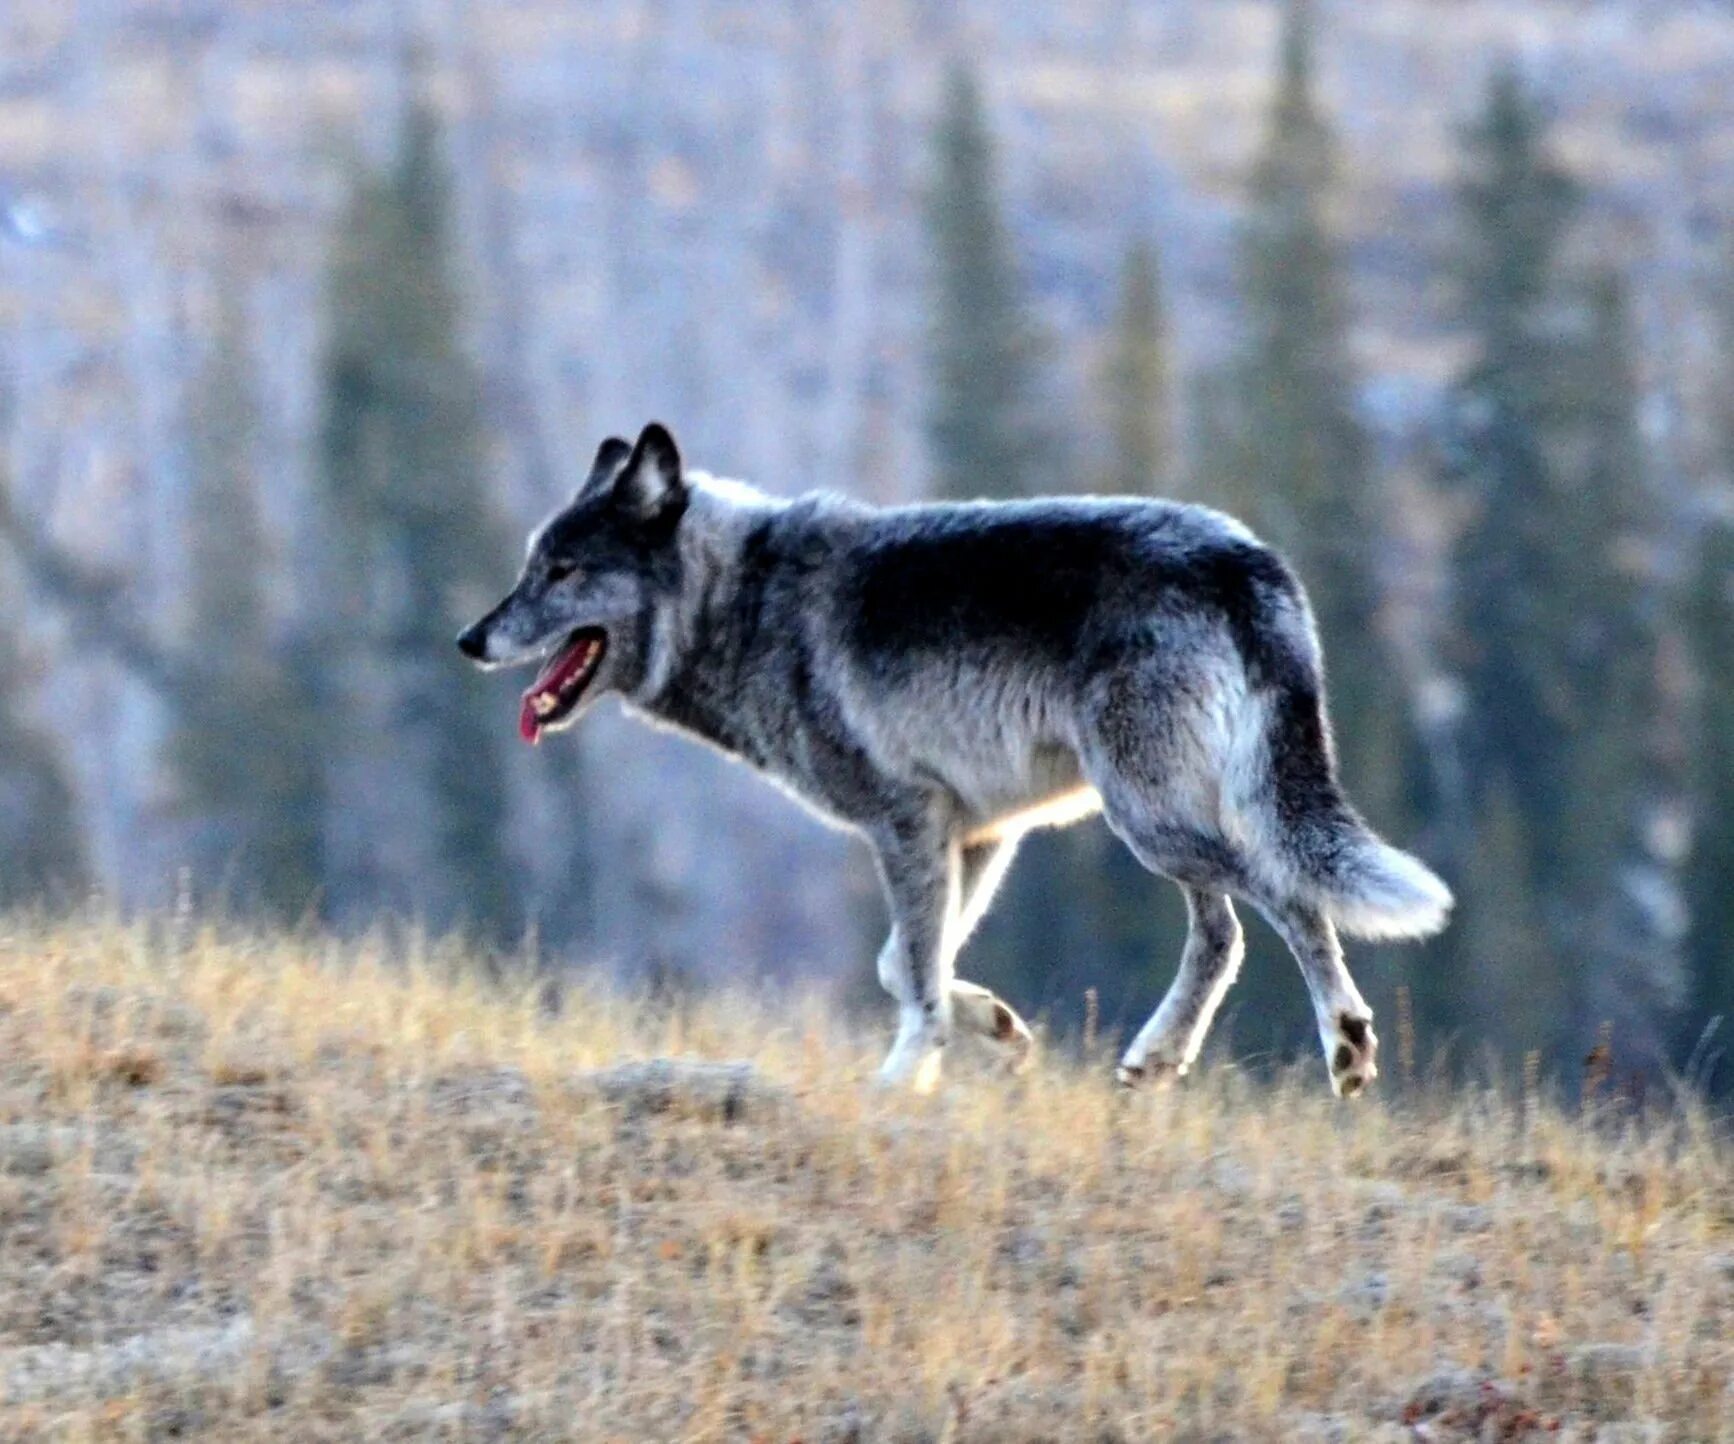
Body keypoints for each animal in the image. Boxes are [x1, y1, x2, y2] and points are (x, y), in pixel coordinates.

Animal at [450, 422, 1449, 1095]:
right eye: (530, 565)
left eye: (564, 572)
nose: (468, 638)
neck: (751, 607)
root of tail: (1251, 560)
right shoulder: (976, 834)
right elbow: (903, 964)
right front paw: (993, 1027)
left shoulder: (904, 823)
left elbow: (915, 977)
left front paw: (901, 1081)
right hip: (1158, 821)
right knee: (1222, 934)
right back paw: (1156, 1059)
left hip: (1152, 822)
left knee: (1283, 902)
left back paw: (1346, 1044)